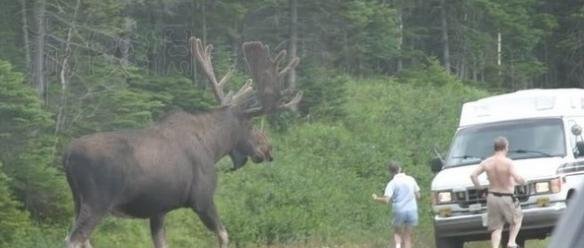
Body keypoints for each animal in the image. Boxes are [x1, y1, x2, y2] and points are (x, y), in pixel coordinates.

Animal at [62, 37, 302, 248]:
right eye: (251, 126)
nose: (268, 149)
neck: (214, 146)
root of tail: (67, 155)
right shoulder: (202, 199)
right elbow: (224, 234)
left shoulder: (158, 210)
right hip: (97, 202)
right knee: (73, 239)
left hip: (77, 201)